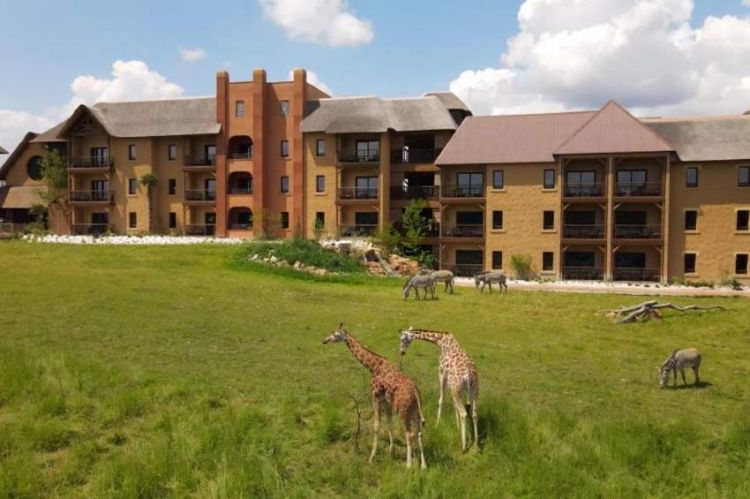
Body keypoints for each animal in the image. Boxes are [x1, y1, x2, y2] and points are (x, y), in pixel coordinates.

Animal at [324, 324, 428, 468]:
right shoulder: (387, 403)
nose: (325, 340)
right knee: (419, 432)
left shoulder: (376, 398)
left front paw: (372, 457)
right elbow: (390, 425)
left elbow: (377, 426)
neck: (374, 367)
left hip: (403, 412)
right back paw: (423, 466)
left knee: (409, 434)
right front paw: (391, 451)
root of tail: (416, 393)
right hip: (414, 412)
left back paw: (408, 466)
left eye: (335, 335)